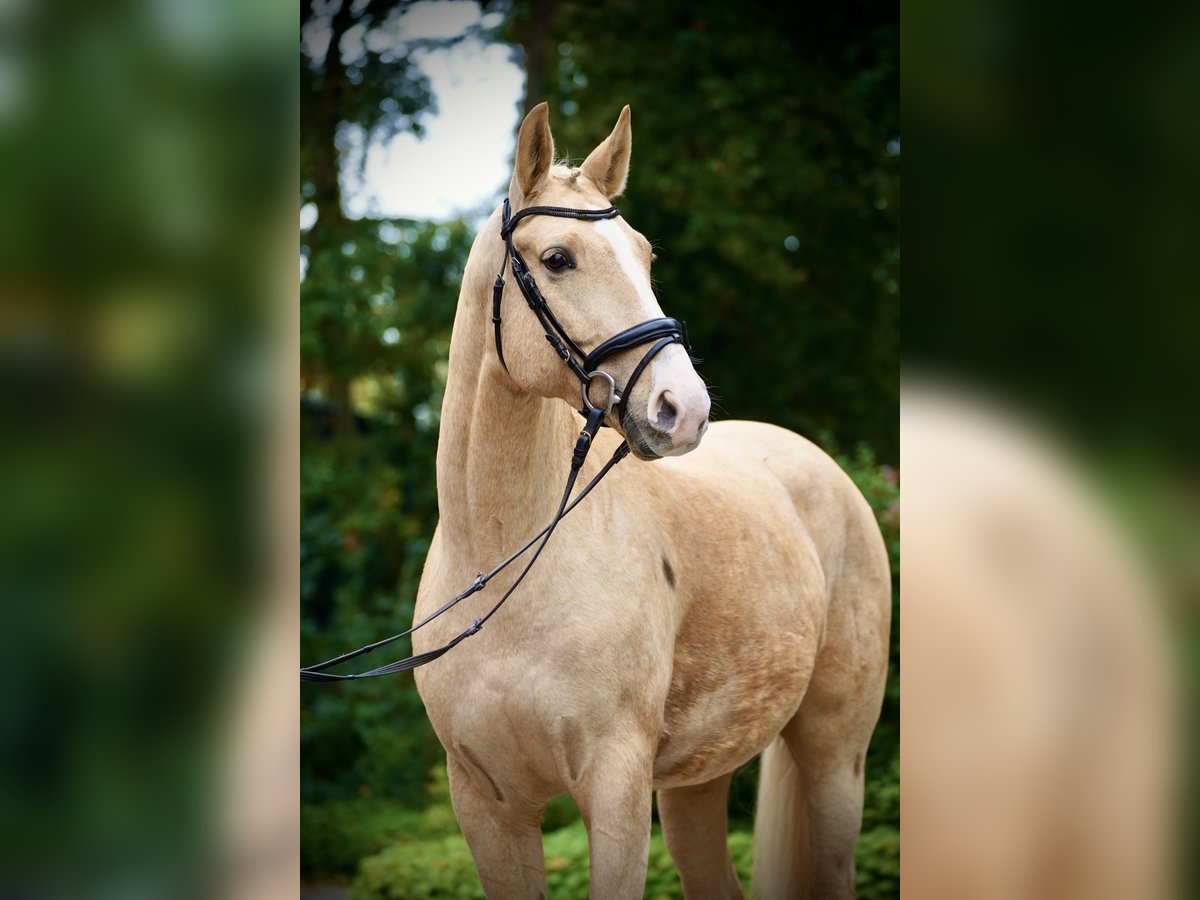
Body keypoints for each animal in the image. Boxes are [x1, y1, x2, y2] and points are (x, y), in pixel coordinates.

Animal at [411, 102, 891, 899]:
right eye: (558, 259)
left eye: (644, 255)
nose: (682, 408)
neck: (502, 569)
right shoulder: (486, 807)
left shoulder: (616, 789)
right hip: (697, 783)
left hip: (835, 761)